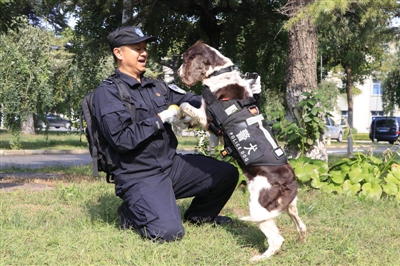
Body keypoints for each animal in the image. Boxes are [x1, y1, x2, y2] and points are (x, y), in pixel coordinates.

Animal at [177, 41, 306, 262]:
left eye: (185, 59)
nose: (177, 71)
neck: (220, 72)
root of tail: (290, 182)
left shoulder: (206, 117)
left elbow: (185, 104)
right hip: (288, 206)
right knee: (301, 225)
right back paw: (301, 241)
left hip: (258, 206)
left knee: (277, 240)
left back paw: (259, 258)